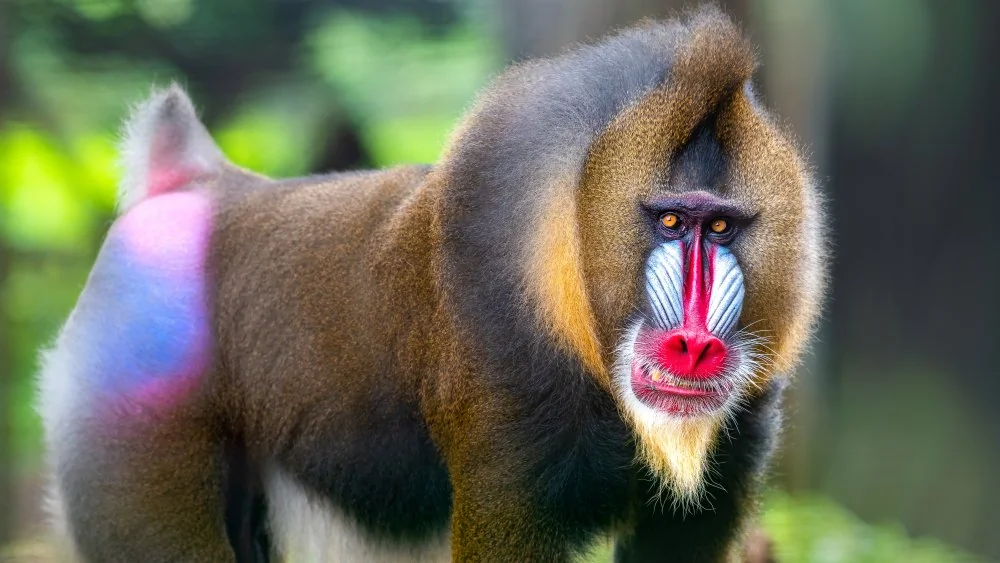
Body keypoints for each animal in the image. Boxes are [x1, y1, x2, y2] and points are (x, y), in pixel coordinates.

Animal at [36, 7, 826, 563]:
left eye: (719, 228)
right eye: (668, 220)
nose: (694, 345)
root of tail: (188, 184)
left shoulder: (728, 459)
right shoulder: (505, 443)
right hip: (128, 434)